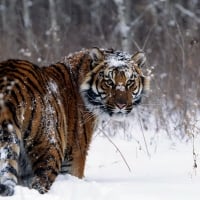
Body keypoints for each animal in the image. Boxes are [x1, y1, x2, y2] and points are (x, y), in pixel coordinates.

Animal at [0, 47, 150, 195]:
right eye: (109, 82)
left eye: (129, 82)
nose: (121, 105)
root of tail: (9, 80)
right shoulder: (75, 155)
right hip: (51, 149)